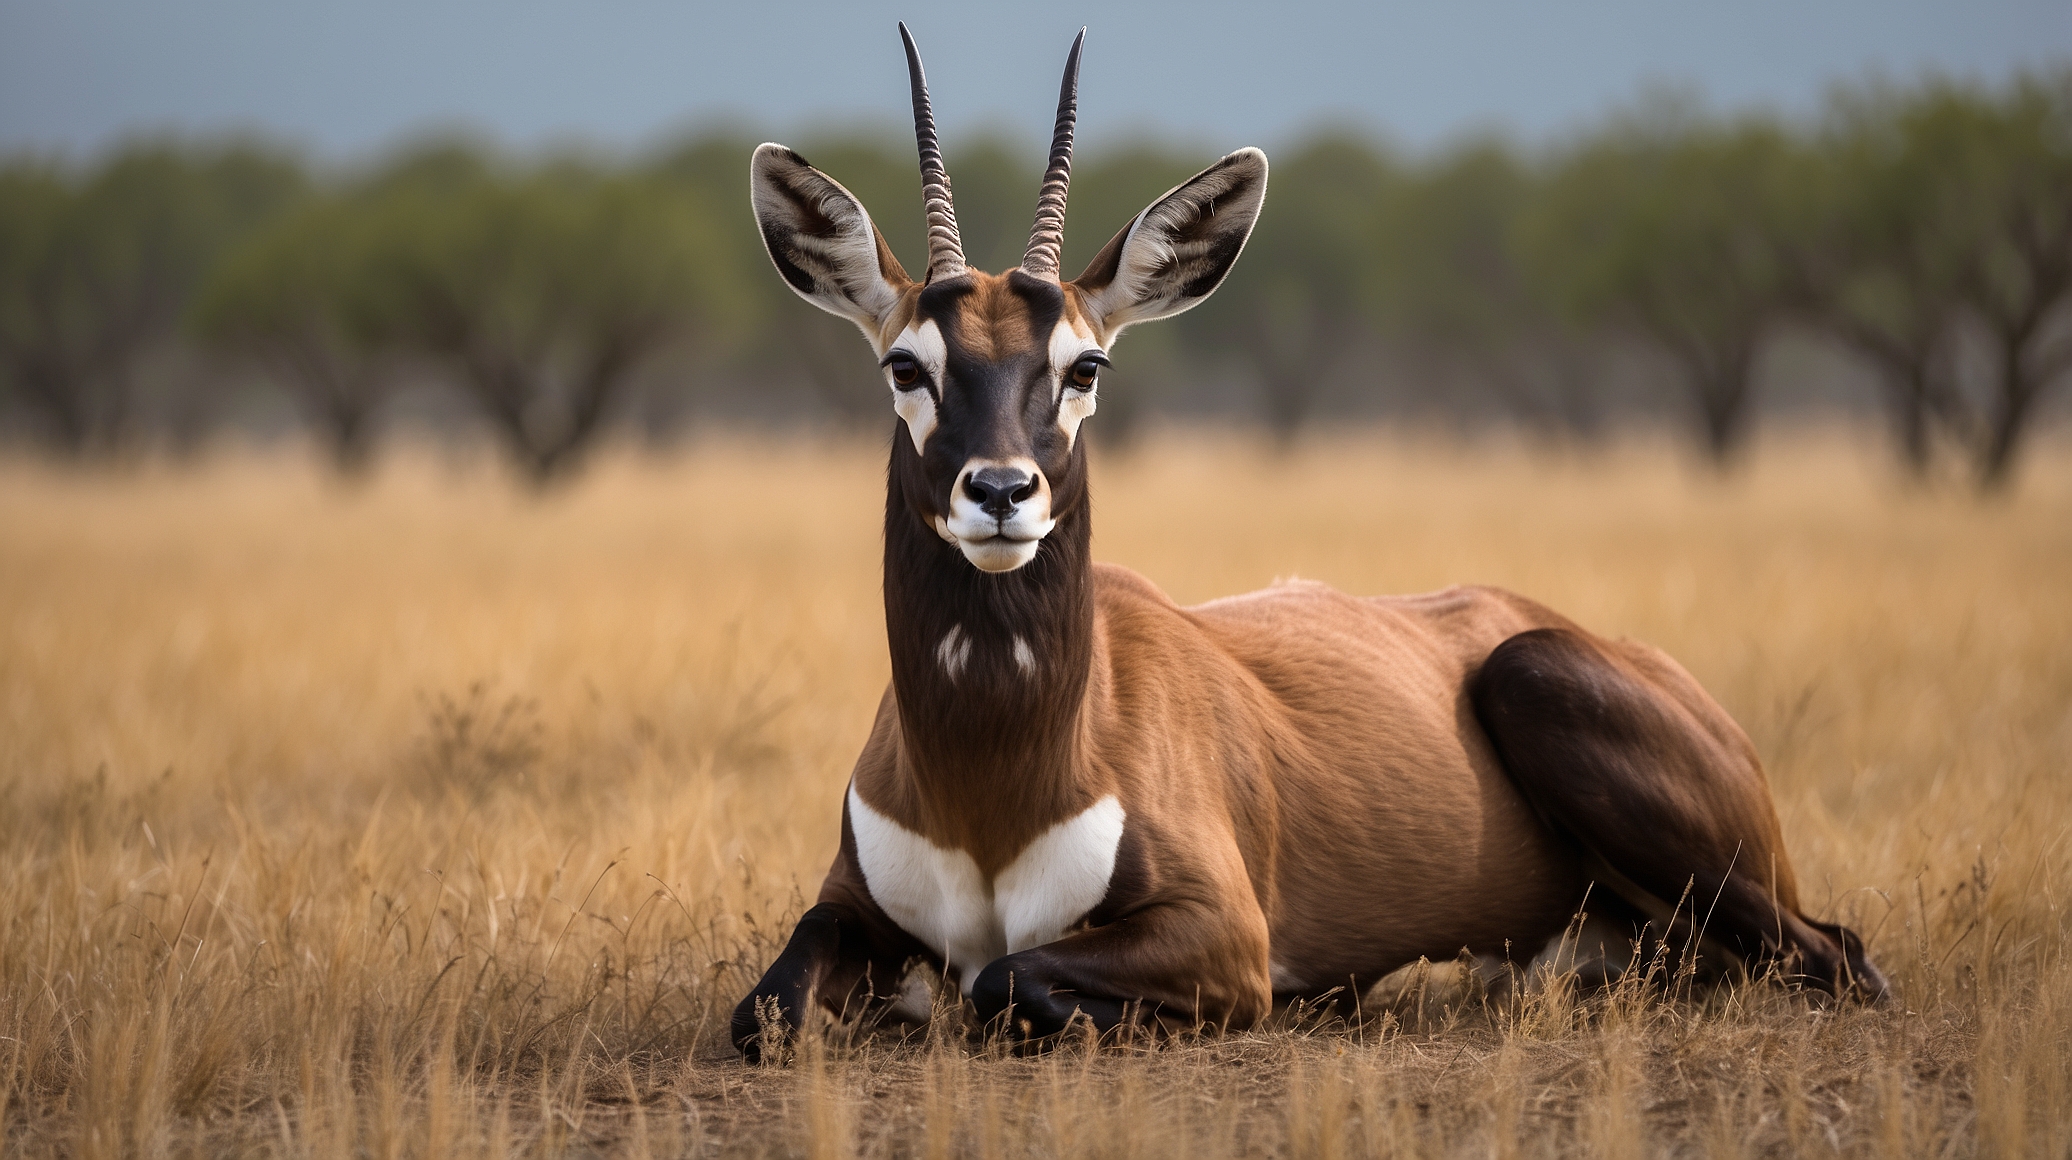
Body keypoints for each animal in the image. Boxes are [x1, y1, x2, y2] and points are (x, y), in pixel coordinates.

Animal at [733, 27, 1897, 1060]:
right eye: (906, 365)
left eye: (1083, 365)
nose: (1002, 492)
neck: (993, 786)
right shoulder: (843, 910)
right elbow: (769, 1007)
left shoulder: (1223, 937)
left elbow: (1004, 980)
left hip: (1565, 711)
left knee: (1836, 955)